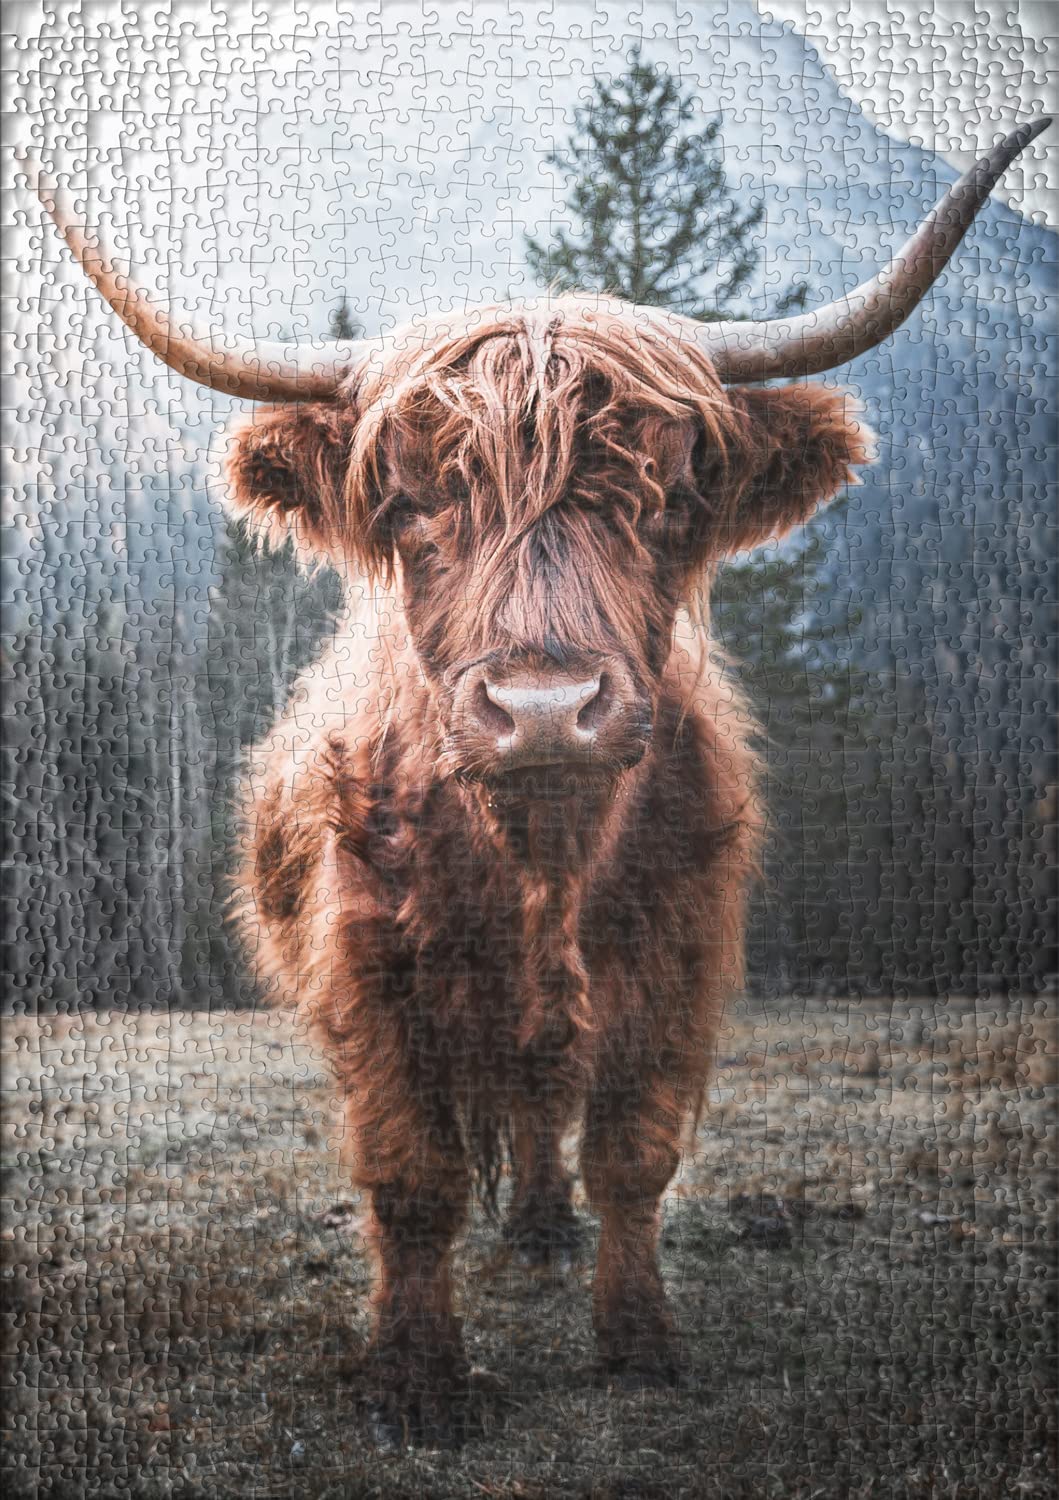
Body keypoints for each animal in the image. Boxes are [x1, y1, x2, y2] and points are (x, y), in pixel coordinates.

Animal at [32, 117, 1048, 1445]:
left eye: (666, 500)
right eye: (412, 504)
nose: (545, 709)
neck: (539, 861)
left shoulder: (675, 960)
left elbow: (631, 1154)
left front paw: (639, 1340)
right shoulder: (371, 970)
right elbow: (412, 1178)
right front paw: (415, 1379)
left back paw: (544, 1231)